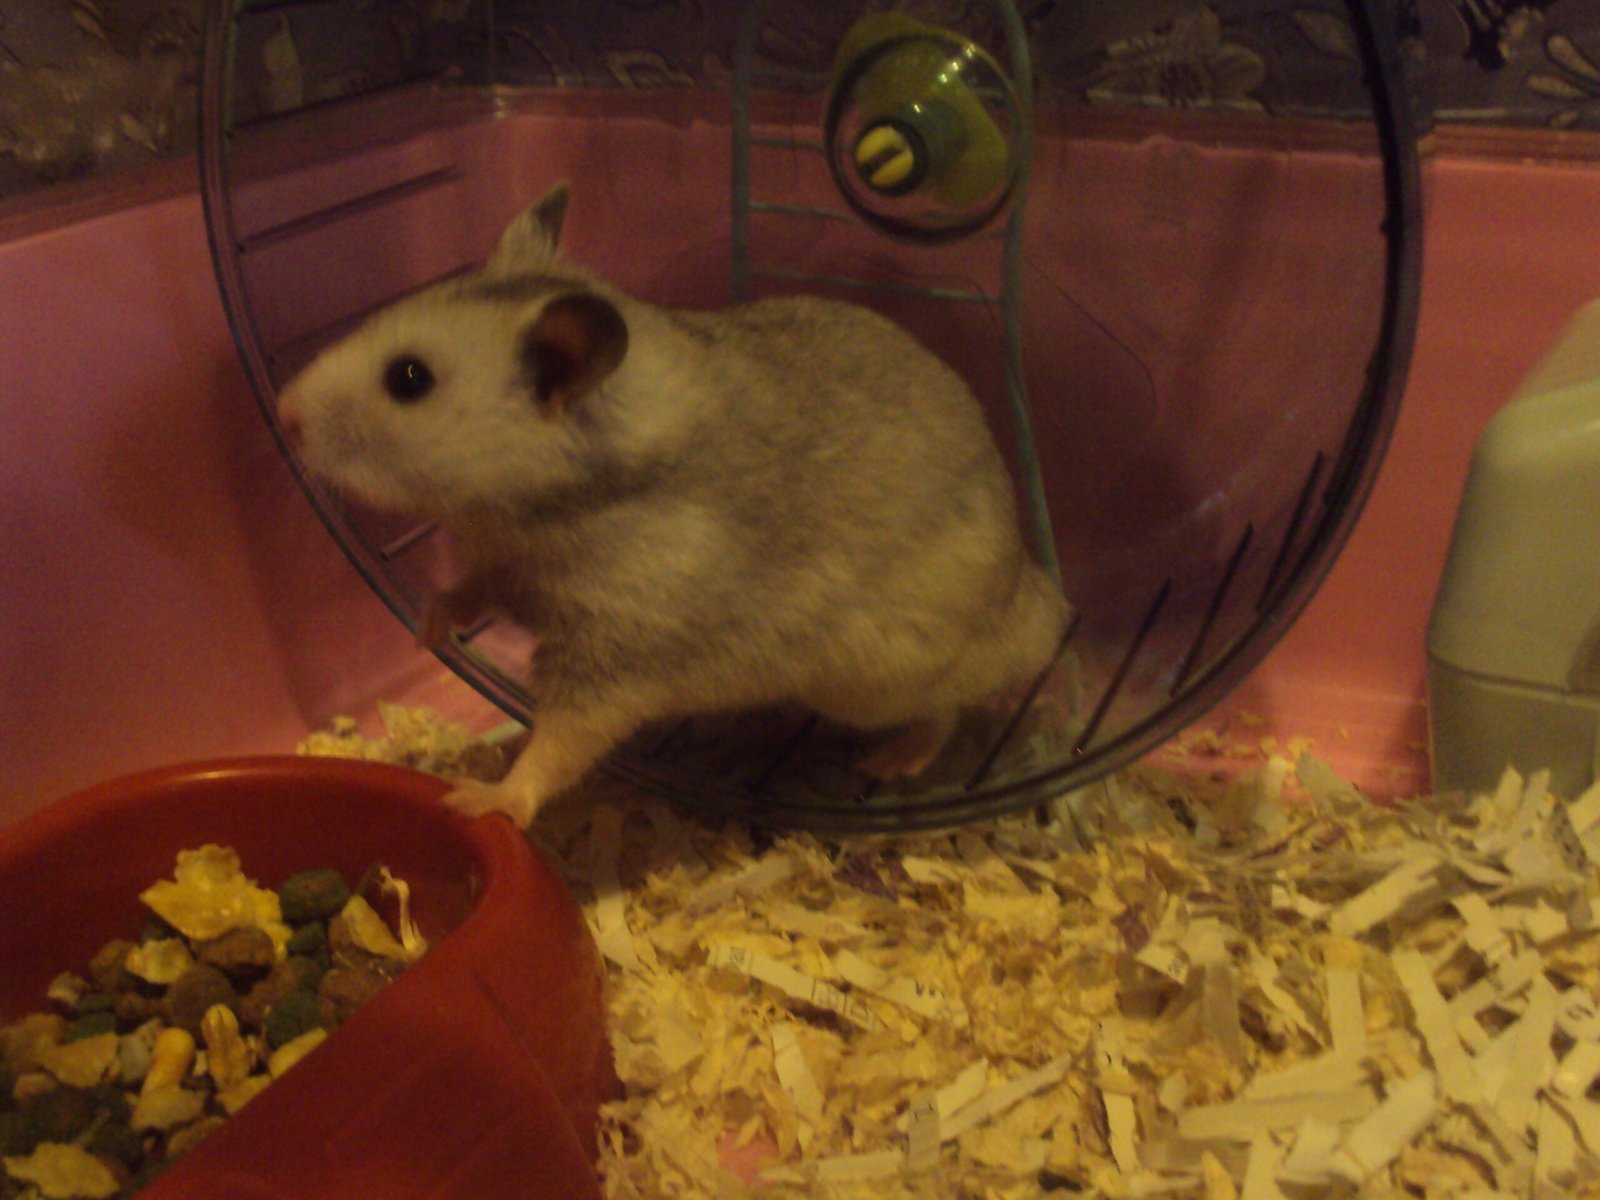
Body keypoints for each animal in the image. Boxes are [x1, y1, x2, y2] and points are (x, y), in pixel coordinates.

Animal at [277, 182, 1071, 828]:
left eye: (408, 379)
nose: (283, 414)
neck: (545, 508)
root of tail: (1036, 596)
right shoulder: (512, 571)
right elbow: (469, 590)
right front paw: (428, 630)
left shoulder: (617, 656)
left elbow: (559, 742)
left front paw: (482, 800)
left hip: (877, 681)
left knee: (948, 709)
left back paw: (892, 762)